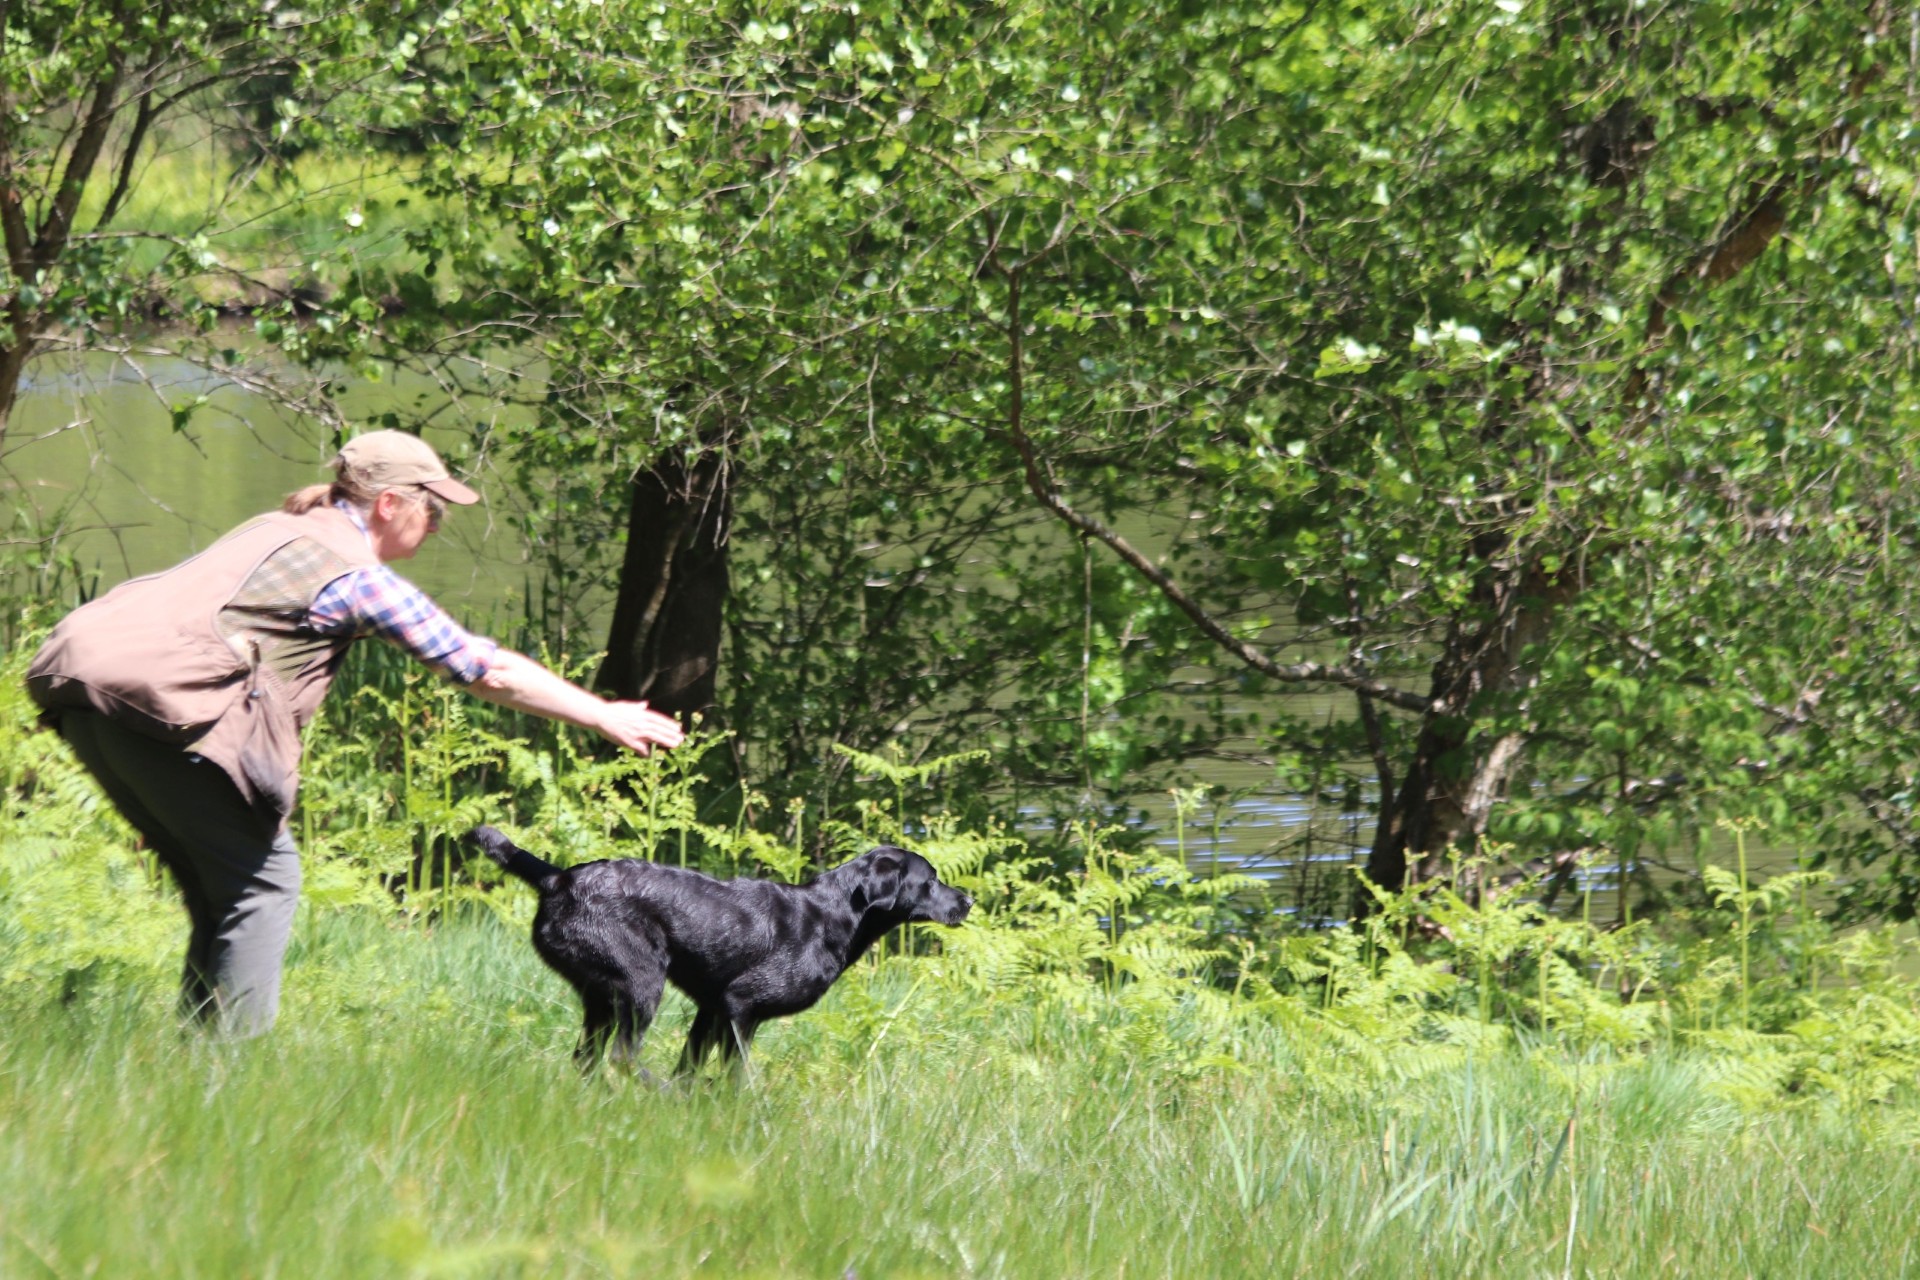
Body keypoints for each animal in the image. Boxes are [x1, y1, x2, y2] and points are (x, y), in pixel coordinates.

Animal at [466, 825, 972, 1075]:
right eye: (930, 881)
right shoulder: (739, 1007)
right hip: (640, 983)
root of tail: (557, 878)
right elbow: (734, 1078)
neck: (833, 914)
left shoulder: (710, 1010)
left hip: (601, 999)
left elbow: (690, 1069)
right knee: (623, 1057)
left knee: (588, 1059)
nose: (967, 900)